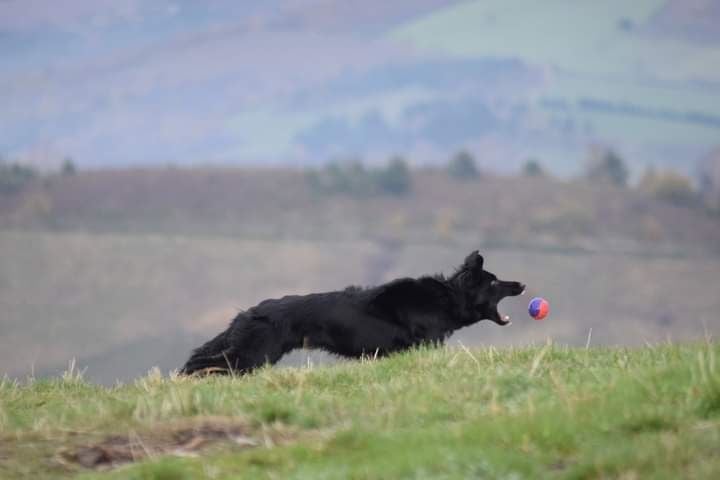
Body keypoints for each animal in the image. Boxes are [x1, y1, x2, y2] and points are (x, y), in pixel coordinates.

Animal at [183, 251, 524, 376]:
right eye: (494, 282)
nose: (522, 284)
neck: (446, 297)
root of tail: (251, 311)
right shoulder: (425, 343)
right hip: (253, 354)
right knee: (205, 361)